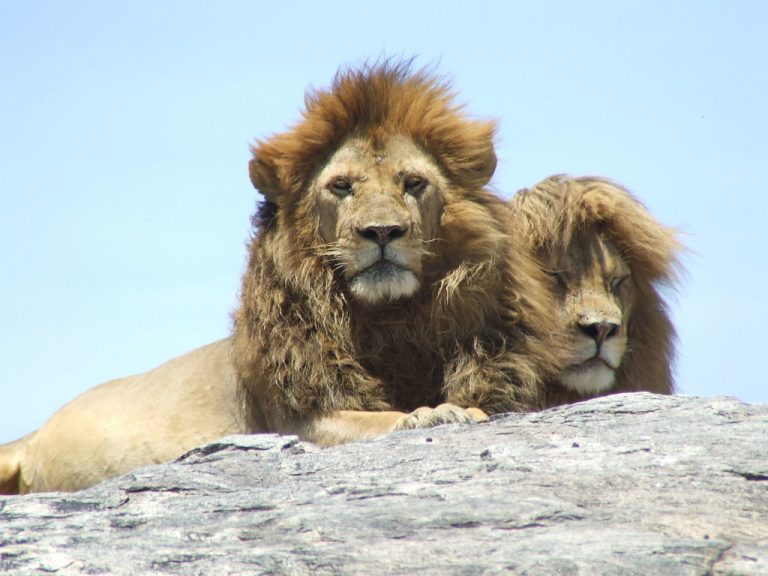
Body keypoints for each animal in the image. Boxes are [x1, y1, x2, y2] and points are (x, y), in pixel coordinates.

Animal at [1, 62, 562, 494]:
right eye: (341, 186)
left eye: (413, 183)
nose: (382, 231)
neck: (394, 318)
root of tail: (32, 435)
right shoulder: (300, 418)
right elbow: (382, 420)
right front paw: (435, 414)